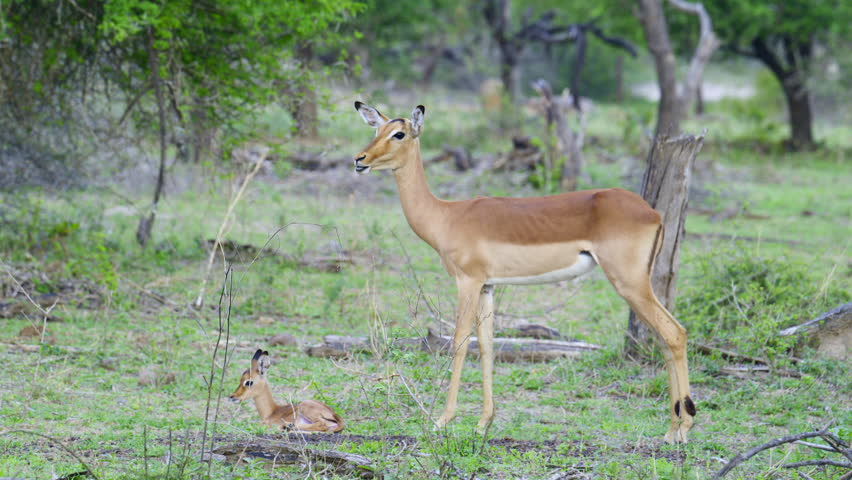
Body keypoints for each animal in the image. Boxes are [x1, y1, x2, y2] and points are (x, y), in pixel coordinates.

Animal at [352, 102, 695, 443]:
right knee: (665, 338)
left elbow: (460, 341)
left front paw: (442, 420)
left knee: (674, 333)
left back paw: (683, 428)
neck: (446, 216)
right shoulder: (487, 286)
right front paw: (483, 423)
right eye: (377, 129)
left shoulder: (467, 282)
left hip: (630, 284)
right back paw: (672, 429)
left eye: (399, 133)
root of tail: (652, 213)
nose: (360, 159)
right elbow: (487, 346)